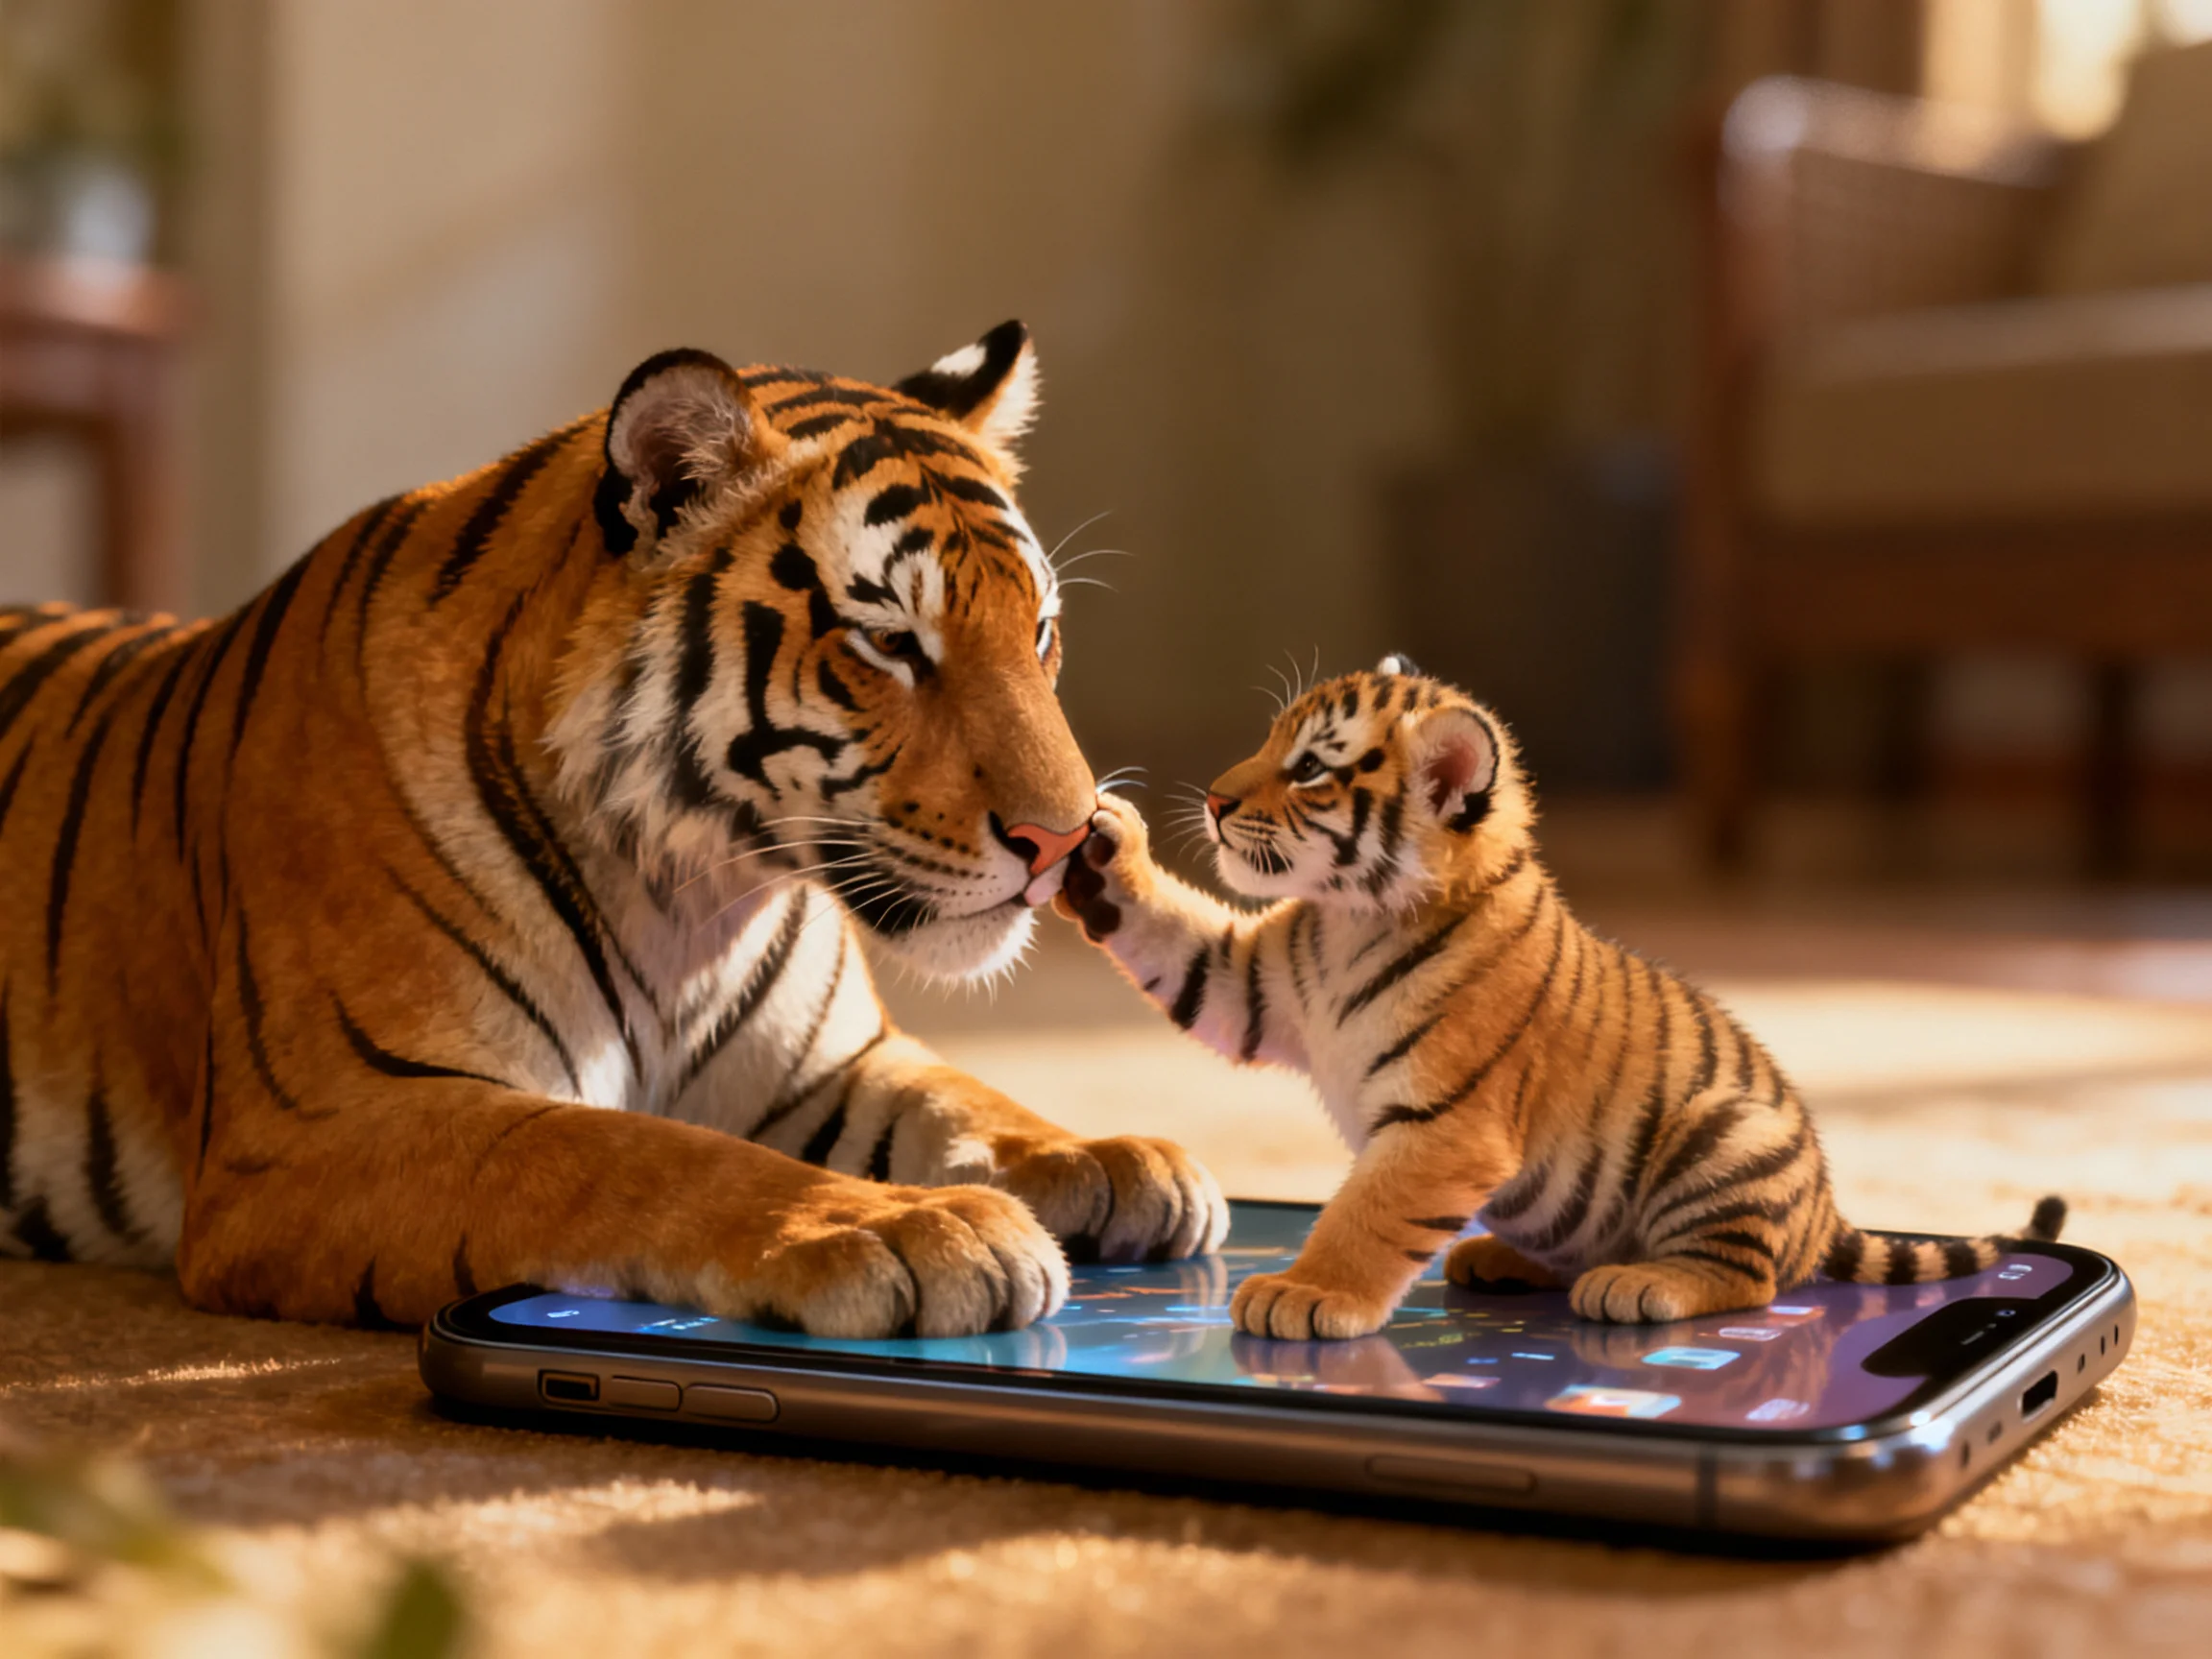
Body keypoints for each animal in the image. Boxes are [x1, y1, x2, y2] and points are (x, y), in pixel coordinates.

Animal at [0, 320, 1229, 1337]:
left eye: (1041, 631)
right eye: (889, 643)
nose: (1066, 842)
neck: (692, 896)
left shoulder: (830, 1067)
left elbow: (960, 1095)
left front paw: (1111, 1156)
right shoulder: (319, 1129)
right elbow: (631, 1152)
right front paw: (909, 1227)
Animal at [1055, 655, 2064, 1339]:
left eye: (1309, 767)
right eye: (1269, 742)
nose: (1214, 800)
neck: (1352, 918)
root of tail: (1825, 1207)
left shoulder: (1443, 1128)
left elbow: (1366, 1216)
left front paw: (1307, 1292)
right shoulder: (1254, 985)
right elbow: (1178, 939)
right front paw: (1107, 848)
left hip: (1725, 1137)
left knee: (1751, 1273)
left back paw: (1640, 1285)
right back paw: (1499, 1257)